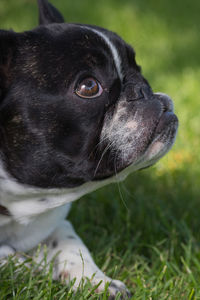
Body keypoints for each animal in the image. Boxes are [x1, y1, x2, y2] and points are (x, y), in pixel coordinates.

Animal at [0, 0, 178, 298]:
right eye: (88, 86)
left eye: (138, 68)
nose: (142, 89)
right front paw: (27, 266)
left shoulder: (55, 220)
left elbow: (71, 243)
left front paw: (99, 282)